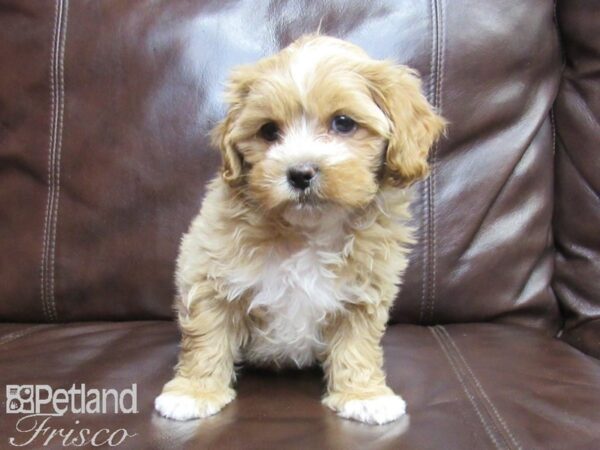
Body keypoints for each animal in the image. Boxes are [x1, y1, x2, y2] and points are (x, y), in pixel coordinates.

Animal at [155, 35, 446, 426]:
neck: (308, 231)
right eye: (268, 131)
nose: (299, 173)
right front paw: (194, 392)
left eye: (343, 123)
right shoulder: (209, 273)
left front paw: (363, 395)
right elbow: (207, 335)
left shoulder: (364, 292)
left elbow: (358, 345)